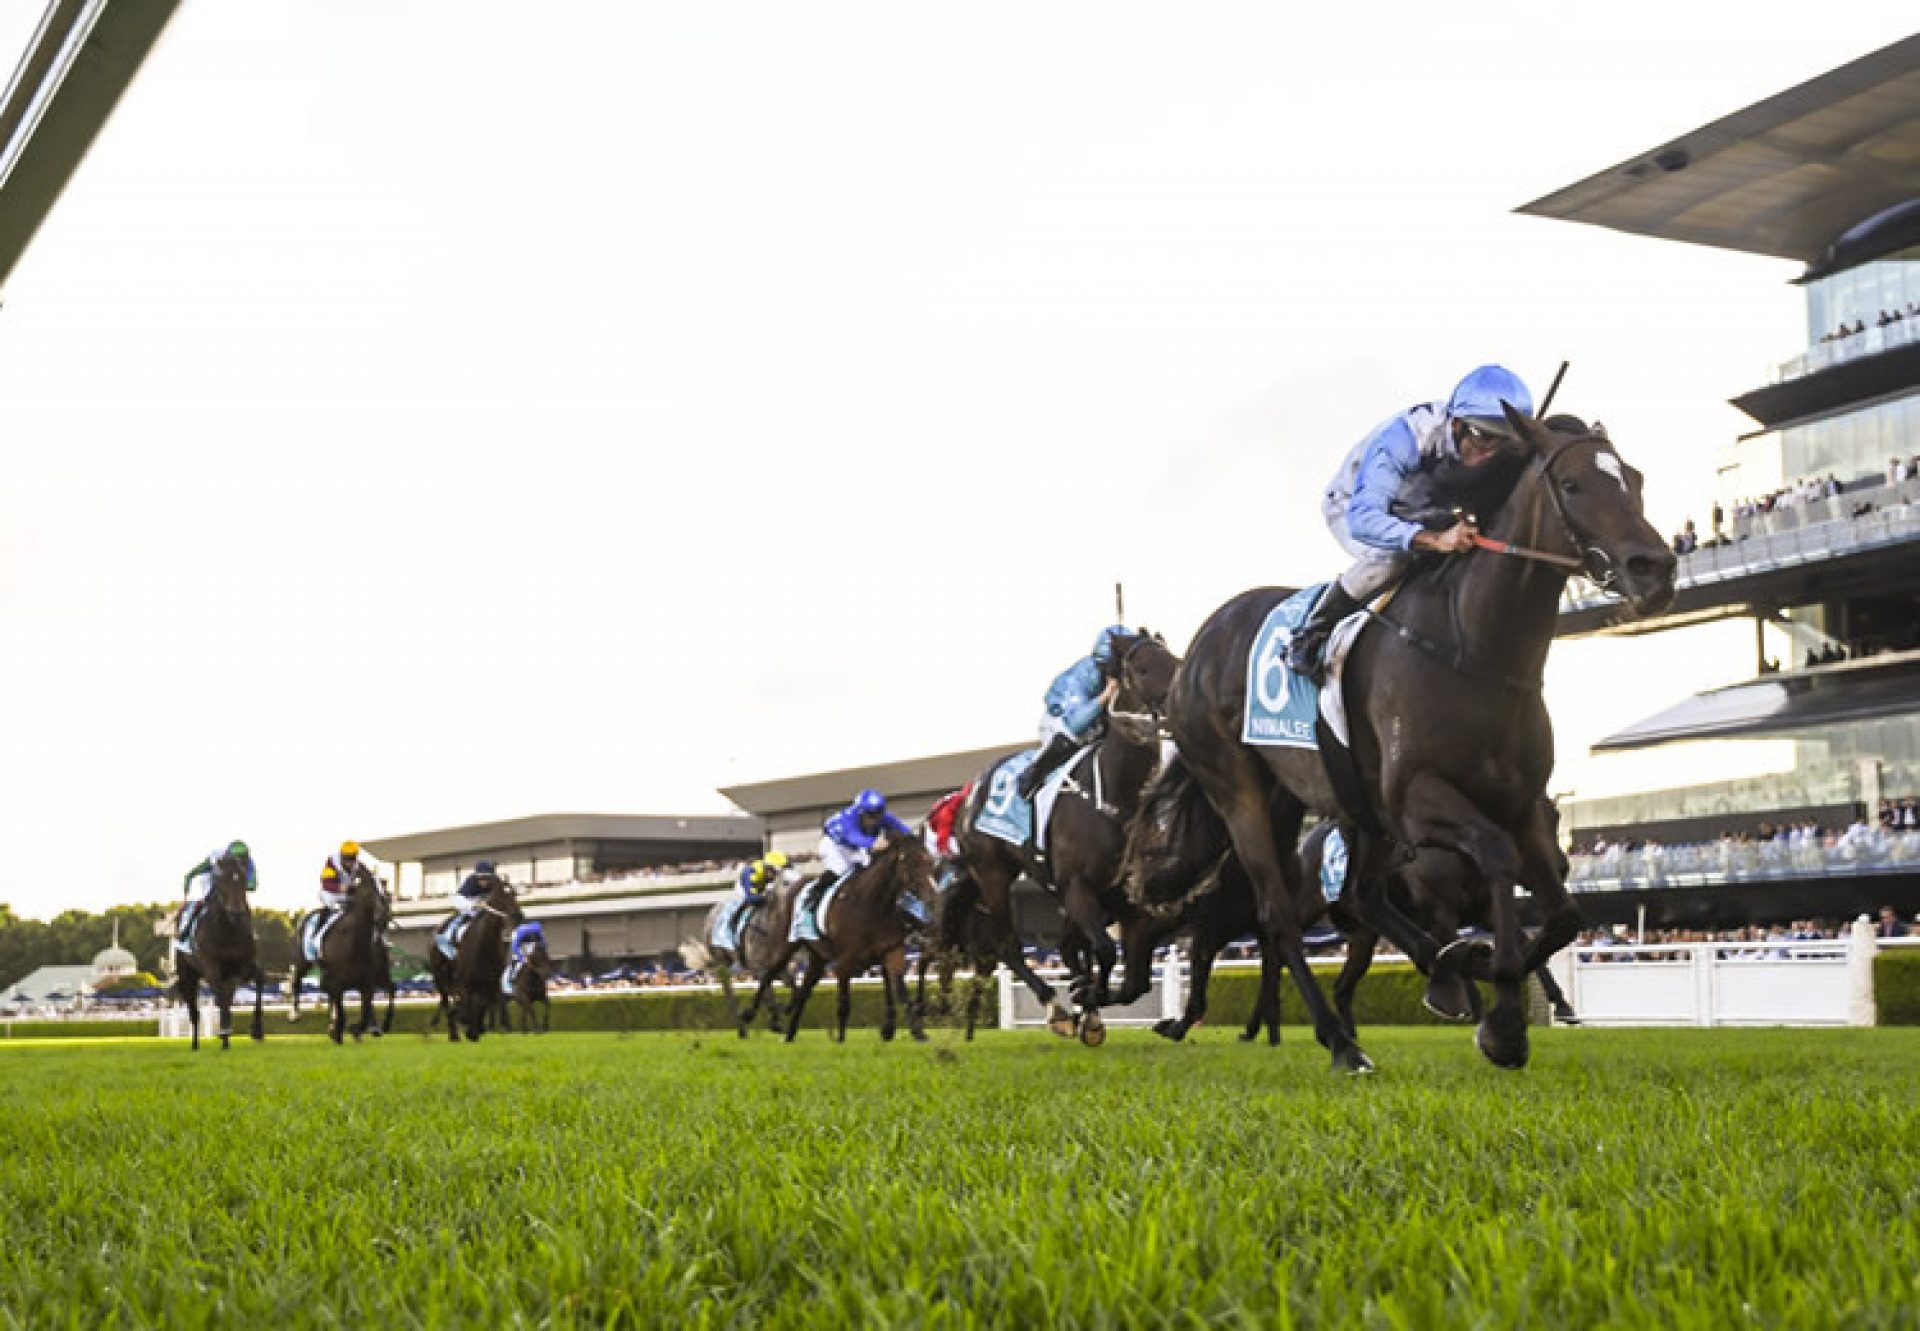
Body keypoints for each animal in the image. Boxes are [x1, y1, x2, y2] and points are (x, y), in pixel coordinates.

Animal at [173, 856, 266, 1052]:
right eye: (222, 880)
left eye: (243, 881)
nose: (236, 912)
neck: (228, 930)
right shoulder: (211, 966)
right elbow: (219, 996)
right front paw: (223, 1031)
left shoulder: (243, 965)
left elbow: (260, 979)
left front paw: (257, 1030)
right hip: (187, 975)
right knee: (194, 1010)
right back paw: (196, 1043)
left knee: (226, 997)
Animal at [286, 868, 391, 1044]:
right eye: (368, 893)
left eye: (386, 893)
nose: (383, 917)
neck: (354, 944)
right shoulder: (336, 982)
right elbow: (341, 1011)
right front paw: (338, 1032)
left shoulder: (366, 984)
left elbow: (364, 1014)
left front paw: (355, 1030)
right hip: (303, 960)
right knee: (296, 980)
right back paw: (295, 1014)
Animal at [426, 875, 522, 1044]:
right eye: (501, 897)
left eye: (514, 894)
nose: (518, 915)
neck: (484, 947)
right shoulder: (465, 983)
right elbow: (468, 1008)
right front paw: (471, 1029)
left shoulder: (492, 983)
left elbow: (486, 1005)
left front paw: (481, 1029)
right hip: (440, 978)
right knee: (446, 1002)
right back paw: (454, 1034)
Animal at [952, 629, 1175, 1037]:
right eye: (1143, 668)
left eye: (1177, 659)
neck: (1115, 791)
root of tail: (969, 792)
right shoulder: (1077, 886)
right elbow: (1103, 951)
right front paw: (1087, 999)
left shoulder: (1120, 899)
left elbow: (1125, 975)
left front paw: (1090, 999)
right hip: (993, 874)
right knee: (1008, 945)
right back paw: (1055, 1007)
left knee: (1066, 947)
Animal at [1144, 412, 1674, 1067]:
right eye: (1573, 484)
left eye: (1634, 479)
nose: (1655, 568)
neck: (1475, 654)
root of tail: (1195, 651)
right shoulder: (1418, 799)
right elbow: (1497, 856)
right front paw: (1502, 1016)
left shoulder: (1521, 803)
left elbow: (1563, 918)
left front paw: (1485, 982)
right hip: (1240, 792)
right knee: (1277, 917)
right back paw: (1341, 1042)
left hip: (1335, 804)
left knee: (1362, 897)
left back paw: (1437, 972)